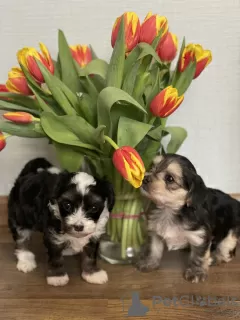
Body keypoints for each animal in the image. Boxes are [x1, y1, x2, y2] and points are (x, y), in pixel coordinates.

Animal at [137, 154, 240, 282]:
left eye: (169, 178)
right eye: (152, 167)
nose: (145, 179)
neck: (169, 210)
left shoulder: (200, 236)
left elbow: (199, 256)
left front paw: (196, 272)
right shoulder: (155, 231)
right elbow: (153, 249)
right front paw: (149, 263)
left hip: (231, 235)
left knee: (226, 250)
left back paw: (214, 258)